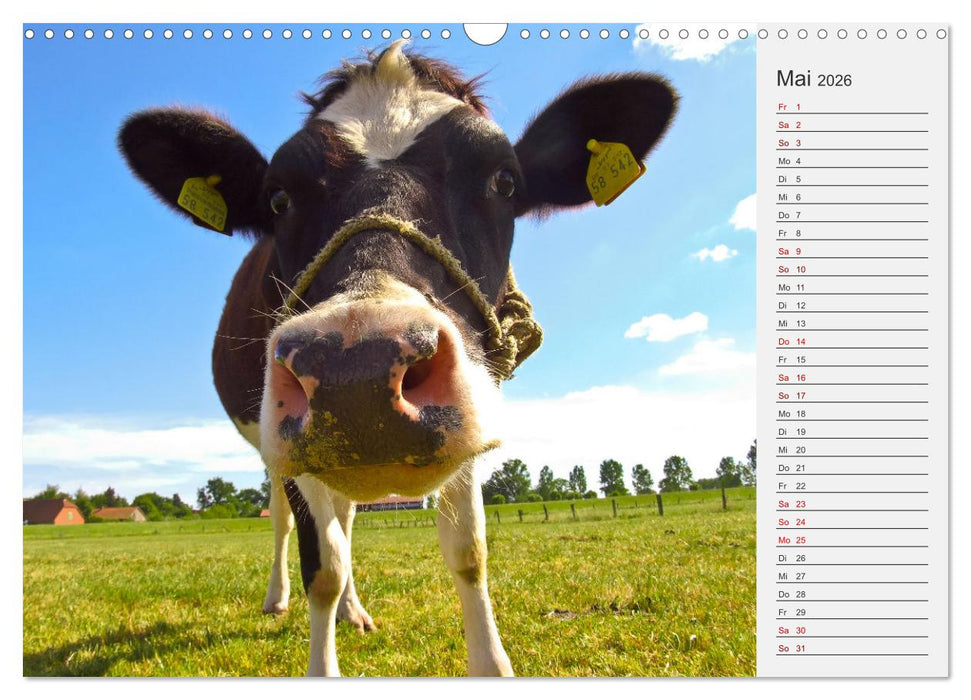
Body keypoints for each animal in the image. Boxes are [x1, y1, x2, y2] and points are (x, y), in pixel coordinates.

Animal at [118, 41, 676, 677]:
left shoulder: (467, 420)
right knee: (291, 520)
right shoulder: (292, 446)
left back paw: (355, 612)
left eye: (505, 181)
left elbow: (468, 552)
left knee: (347, 515)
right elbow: (323, 567)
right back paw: (278, 598)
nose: (355, 371)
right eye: (278, 198)